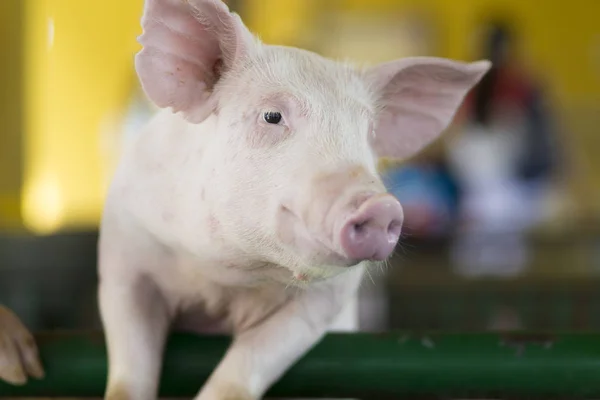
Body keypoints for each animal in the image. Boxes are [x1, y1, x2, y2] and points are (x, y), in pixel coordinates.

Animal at [97, 0, 488, 400]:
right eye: (272, 116)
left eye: (369, 132)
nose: (380, 207)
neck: (225, 279)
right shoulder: (124, 262)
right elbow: (129, 364)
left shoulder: (326, 302)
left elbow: (251, 360)